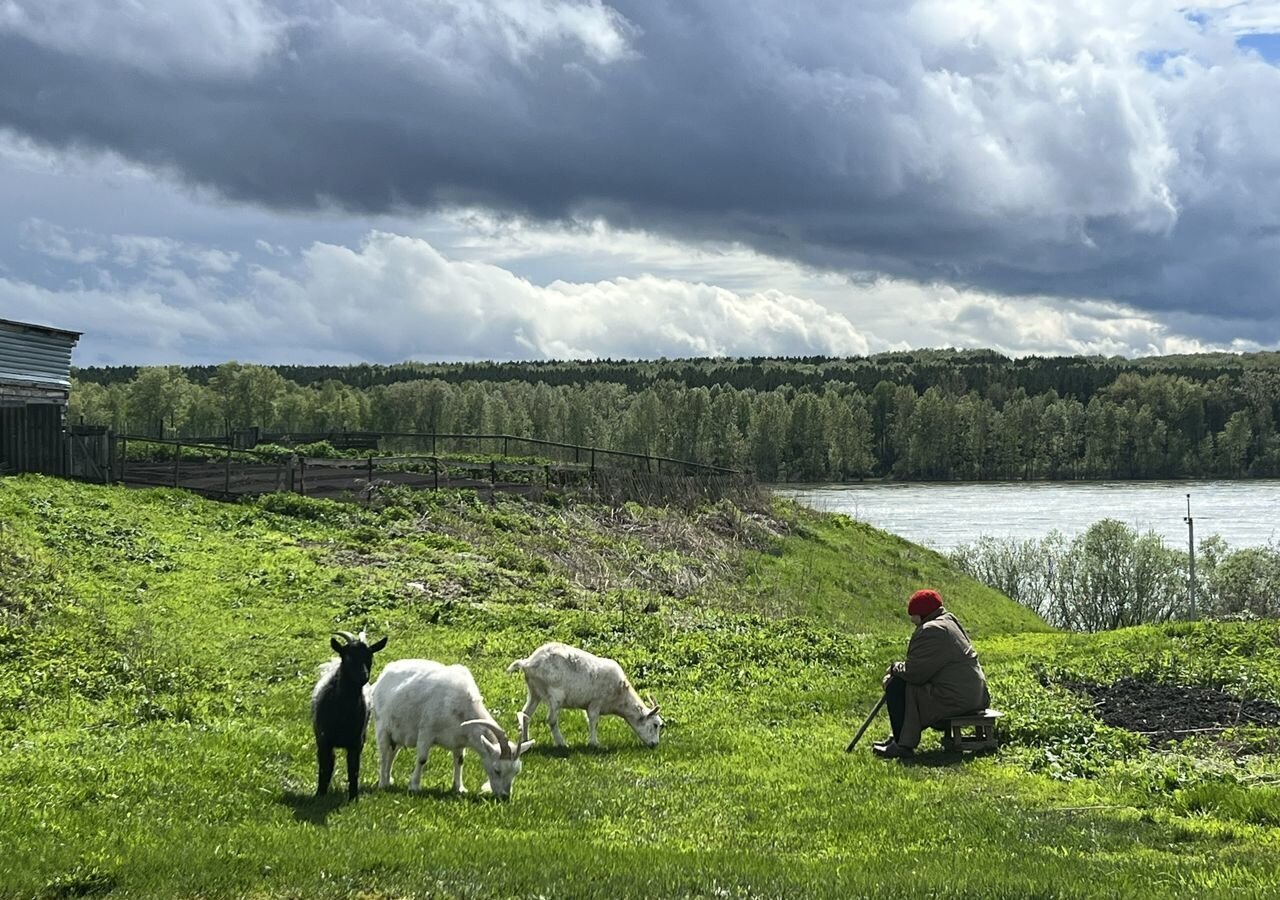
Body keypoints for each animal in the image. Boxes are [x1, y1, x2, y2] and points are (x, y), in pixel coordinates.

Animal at [312, 629, 386, 798]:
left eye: (370, 656)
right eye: (347, 657)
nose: (363, 676)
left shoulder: (356, 742)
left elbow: (354, 770)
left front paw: (353, 797)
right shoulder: (324, 740)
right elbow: (325, 768)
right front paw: (320, 795)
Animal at [368, 660, 532, 798]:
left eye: (516, 771)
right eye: (497, 770)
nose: (505, 796)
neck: (460, 706)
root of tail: (383, 676)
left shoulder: (459, 740)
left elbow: (459, 760)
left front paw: (459, 788)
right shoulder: (426, 731)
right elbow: (422, 759)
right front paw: (414, 786)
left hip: (398, 733)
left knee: (392, 753)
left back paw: (389, 779)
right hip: (382, 726)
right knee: (384, 753)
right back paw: (383, 783)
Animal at [504, 645, 665, 747]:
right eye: (655, 725)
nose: (654, 744)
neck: (619, 696)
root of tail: (527, 663)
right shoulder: (596, 702)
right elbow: (594, 721)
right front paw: (594, 743)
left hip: (534, 691)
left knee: (525, 714)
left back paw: (526, 741)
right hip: (555, 694)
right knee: (551, 719)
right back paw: (562, 743)